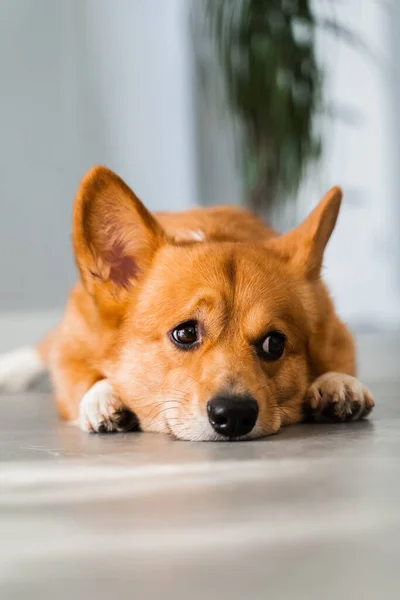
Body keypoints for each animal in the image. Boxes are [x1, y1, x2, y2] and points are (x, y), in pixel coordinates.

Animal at [0, 166, 376, 438]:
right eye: (185, 333)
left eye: (275, 343)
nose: (235, 416)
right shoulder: (74, 346)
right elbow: (82, 376)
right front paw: (103, 397)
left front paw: (337, 383)